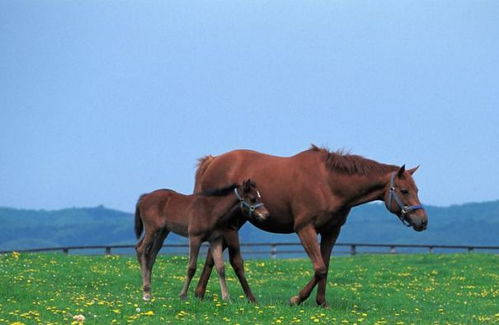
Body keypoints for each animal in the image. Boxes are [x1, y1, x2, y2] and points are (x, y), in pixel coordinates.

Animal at [193, 144, 428, 306]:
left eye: (417, 190)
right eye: (404, 190)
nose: (423, 221)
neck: (328, 183)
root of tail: (212, 161)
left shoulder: (331, 231)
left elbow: (325, 265)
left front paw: (321, 303)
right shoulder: (305, 229)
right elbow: (320, 268)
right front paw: (296, 299)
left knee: (212, 257)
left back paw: (199, 294)